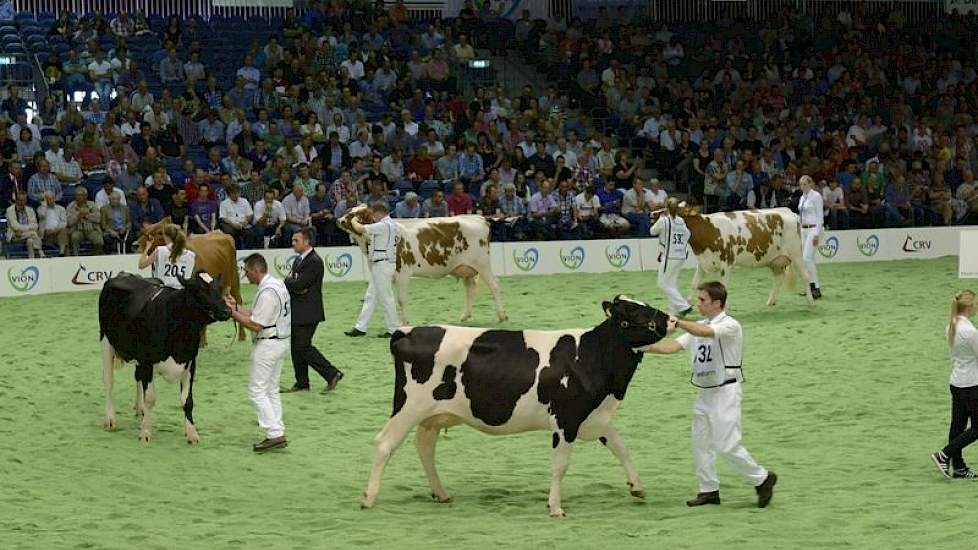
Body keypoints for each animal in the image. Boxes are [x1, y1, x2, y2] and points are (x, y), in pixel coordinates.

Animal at [100, 274, 232, 446]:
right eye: (199, 290)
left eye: (218, 288)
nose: (227, 310)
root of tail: (123, 274)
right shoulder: (147, 362)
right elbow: (150, 399)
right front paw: (145, 432)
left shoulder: (190, 364)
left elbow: (187, 401)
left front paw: (192, 433)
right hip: (106, 342)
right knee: (109, 381)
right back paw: (110, 419)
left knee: (137, 378)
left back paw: (140, 409)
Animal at [338, 207, 508, 328]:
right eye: (349, 209)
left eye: (358, 213)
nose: (340, 220)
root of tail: (479, 217)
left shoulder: (403, 273)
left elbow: (401, 300)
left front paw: (405, 323)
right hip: (465, 268)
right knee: (471, 289)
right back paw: (465, 316)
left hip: (482, 263)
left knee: (494, 285)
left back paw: (502, 315)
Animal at [360, 298, 672, 516]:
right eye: (635, 313)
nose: (670, 318)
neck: (591, 356)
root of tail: (406, 331)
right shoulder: (565, 420)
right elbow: (560, 465)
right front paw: (555, 507)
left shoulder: (597, 419)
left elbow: (622, 449)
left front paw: (637, 487)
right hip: (409, 407)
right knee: (384, 444)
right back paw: (369, 498)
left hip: (433, 415)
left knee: (424, 447)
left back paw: (441, 493)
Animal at [676, 208, 812, 308]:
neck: (708, 229)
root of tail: (789, 212)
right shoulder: (703, 262)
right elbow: (694, 283)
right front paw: (688, 304)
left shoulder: (727, 262)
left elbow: (723, 285)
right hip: (775, 260)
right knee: (779, 278)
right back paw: (770, 302)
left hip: (796, 253)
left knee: (805, 275)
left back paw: (810, 301)